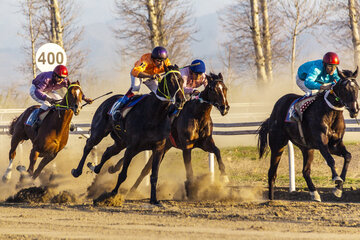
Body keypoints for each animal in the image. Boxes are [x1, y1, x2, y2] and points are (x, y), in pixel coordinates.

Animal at [71, 65, 187, 204]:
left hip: (121, 142)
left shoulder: (159, 148)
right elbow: (123, 174)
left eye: (182, 80)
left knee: (108, 152)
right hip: (99, 132)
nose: (181, 100)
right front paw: (113, 194)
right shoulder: (131, 147)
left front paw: (154, 199)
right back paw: (77, 171)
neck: (154, 114)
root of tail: (108, 100)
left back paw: (95, 167)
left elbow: (154, 175)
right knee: (89, 145)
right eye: (170, 81)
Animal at [107, 71, 231, 199]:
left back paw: (131, 190)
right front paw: (191, 189)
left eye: (225, 88)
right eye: (213, 89)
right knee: (134, 159)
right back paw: (117, 172)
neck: (198, 116)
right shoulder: (187, 147)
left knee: (145, 169)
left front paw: (224, 177)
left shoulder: (205, 143)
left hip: (163, 147)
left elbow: (217, 151)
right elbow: (189, 169)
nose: (225, 108)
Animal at [258, 68, 358, 202]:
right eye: (344, 89)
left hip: (307, 148)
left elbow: (348, 156)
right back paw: (271, 200)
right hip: (278, 145)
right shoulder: (321, 143)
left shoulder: (334, 145)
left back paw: (314, 193)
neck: (330, 113)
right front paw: (336, 179)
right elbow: (330, 160)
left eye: (357, 88)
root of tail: (273, 114)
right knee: (272, 173)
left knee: (305, 171)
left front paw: (338, 188)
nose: (355, 110)